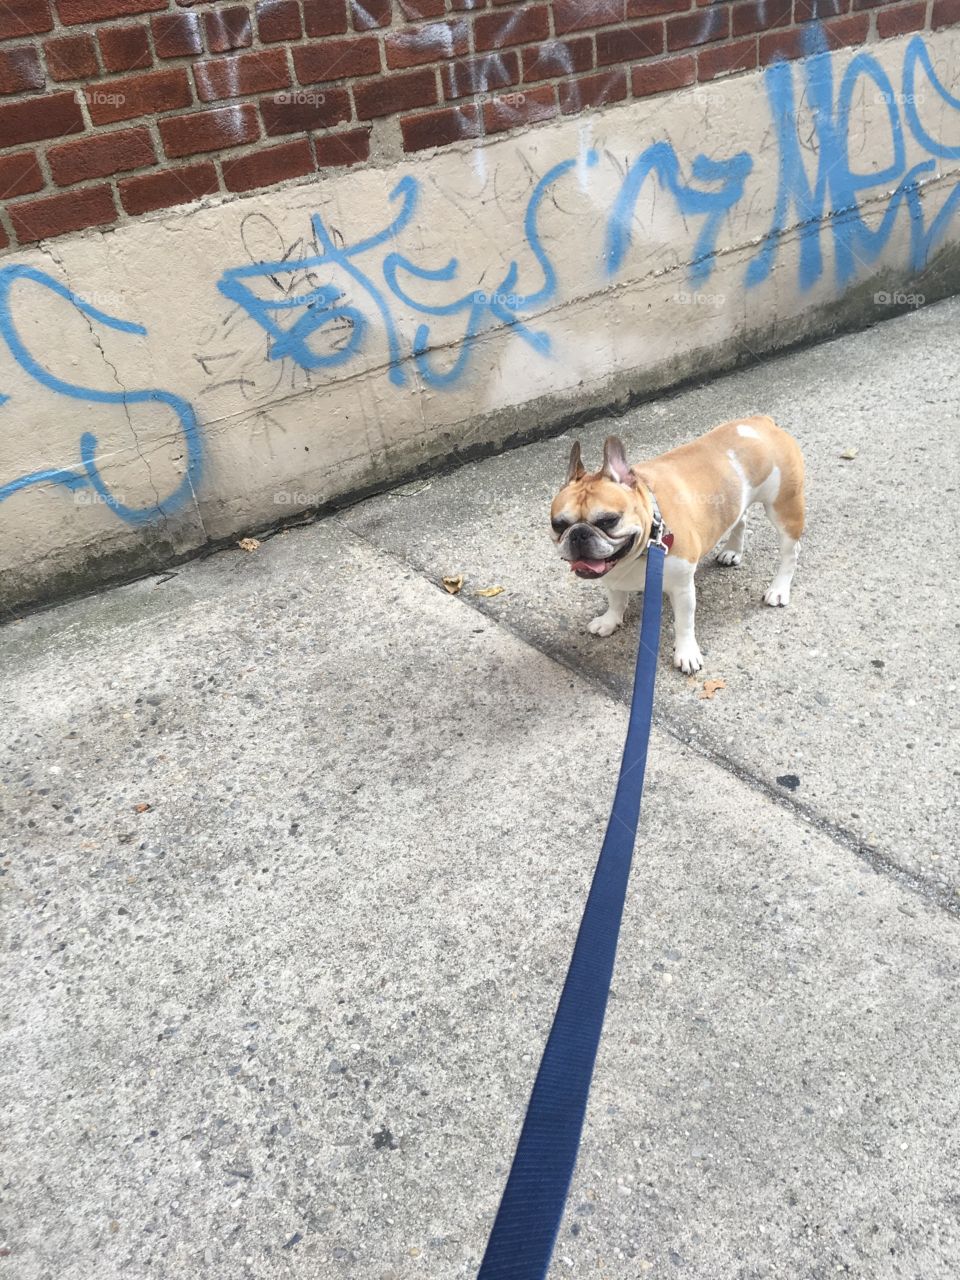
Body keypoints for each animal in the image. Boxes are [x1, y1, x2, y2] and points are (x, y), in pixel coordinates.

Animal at [547, 419, 803, 680]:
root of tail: (759, 421)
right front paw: (609, 621)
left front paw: (687, 653)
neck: (646, 542)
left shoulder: (682, 589)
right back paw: (733, 550)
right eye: (558, 525)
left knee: (790, 552)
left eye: (609, 520)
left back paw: (778, 589)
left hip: (785, 507)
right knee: (740, 518)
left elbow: (684, 623)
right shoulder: (613, 579)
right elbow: (616, 600)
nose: (578, 534)